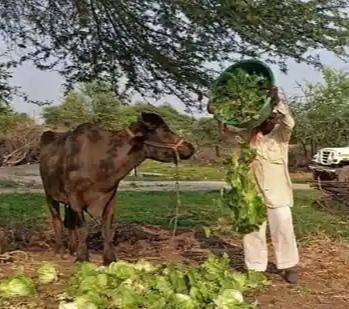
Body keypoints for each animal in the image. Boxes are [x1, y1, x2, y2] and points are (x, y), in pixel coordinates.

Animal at [40, 112, 196, 264]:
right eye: (163, 130)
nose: (190, 147)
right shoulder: (75, 198)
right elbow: (83, 228)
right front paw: (82, 257)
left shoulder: (110, 198)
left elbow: (106, 229)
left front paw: (109, 258)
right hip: (49, 195)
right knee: (57, 221)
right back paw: (60, 250)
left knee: (70, 223)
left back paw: (72, 249)